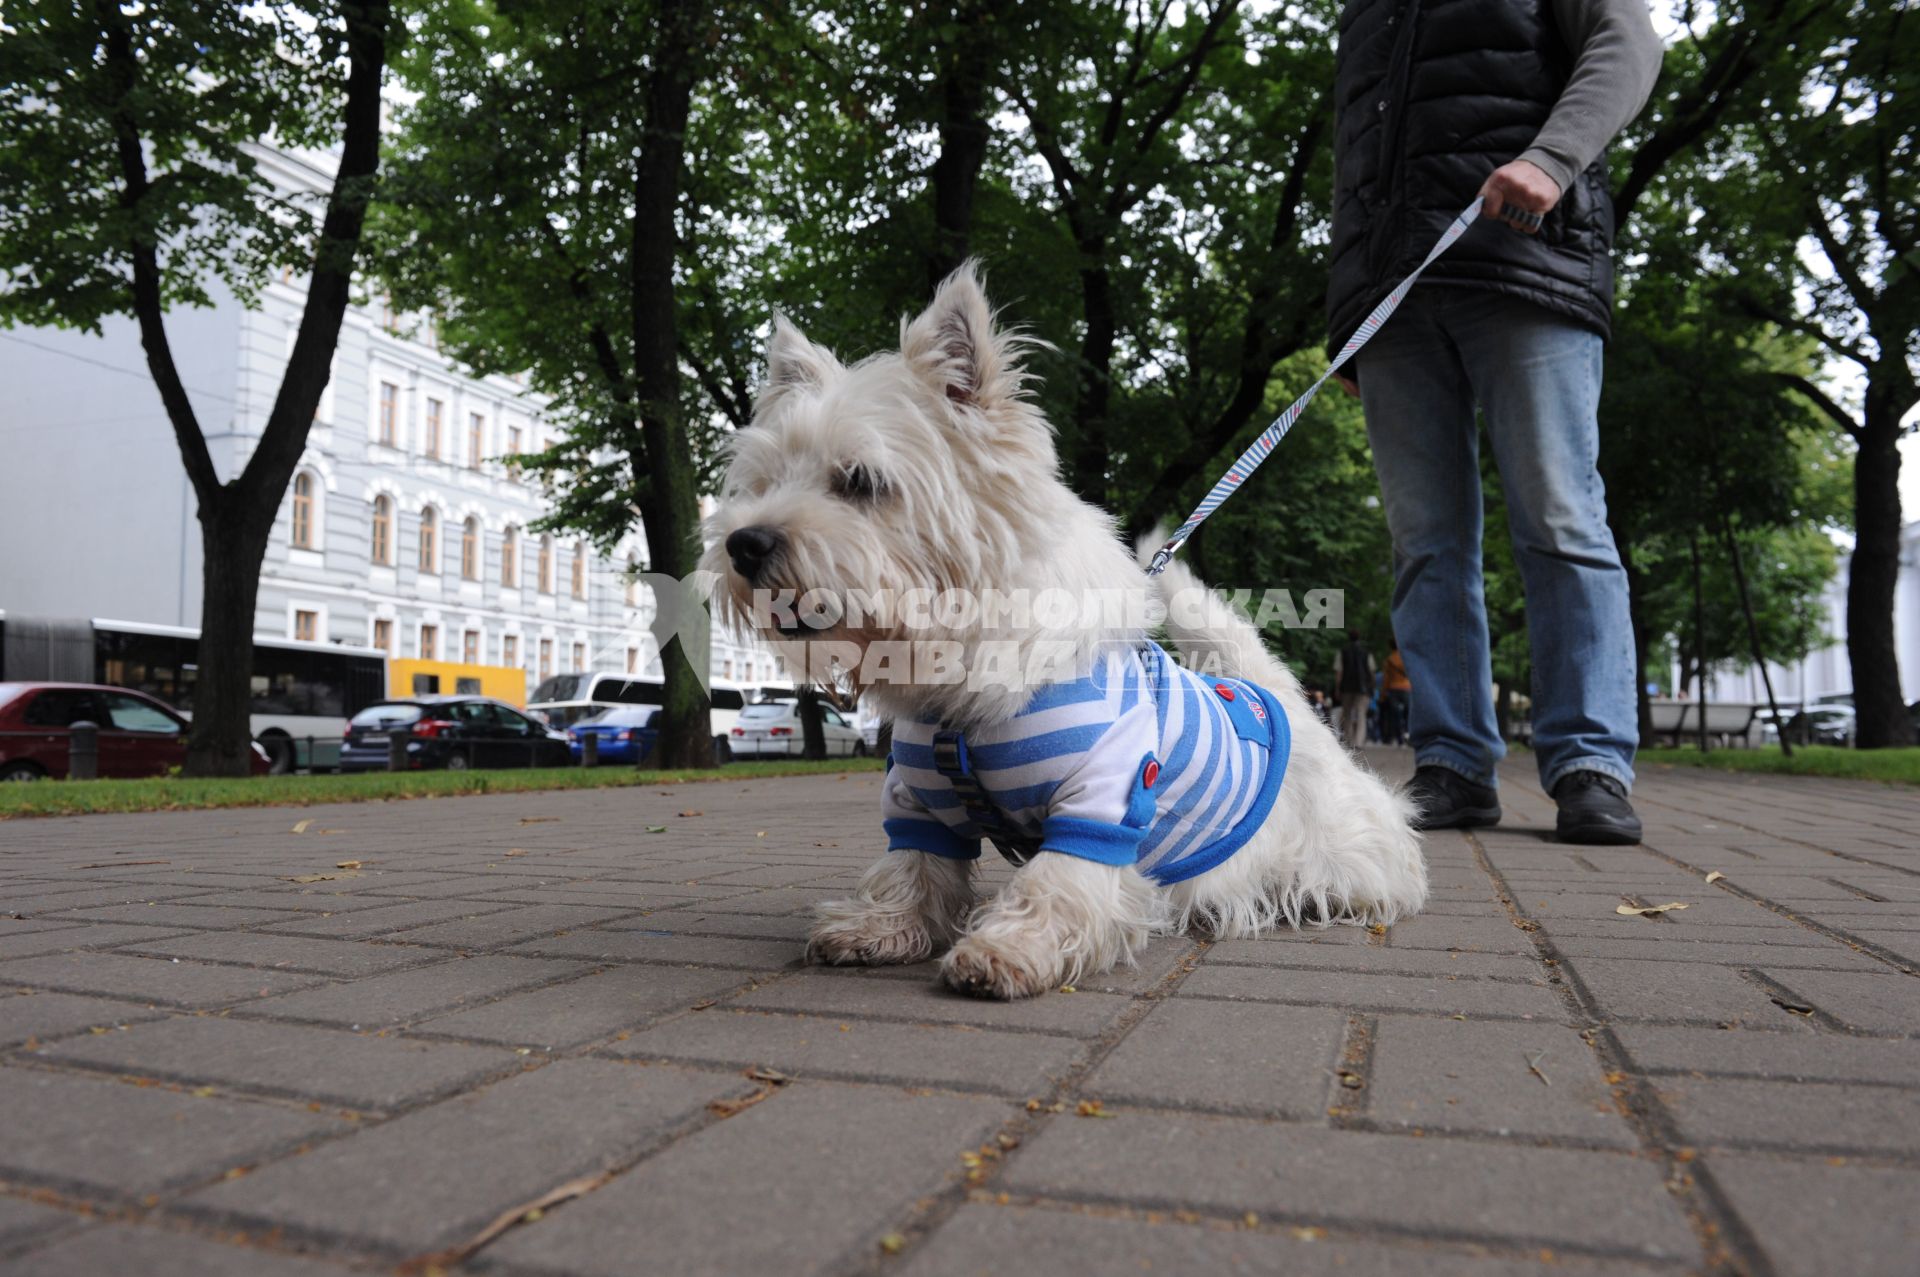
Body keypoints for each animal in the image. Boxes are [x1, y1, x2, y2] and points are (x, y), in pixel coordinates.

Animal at [706, 263, 1428, 998]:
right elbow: (913, 868)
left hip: (1339, 840)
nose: (743, 544)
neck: (959, 687)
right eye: (764, 483)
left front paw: (1005, 948)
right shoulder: (916, 795)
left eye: (860, 481)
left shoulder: (1106, 795)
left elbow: (1059, 880)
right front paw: (880, 927)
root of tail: (1276, 698)